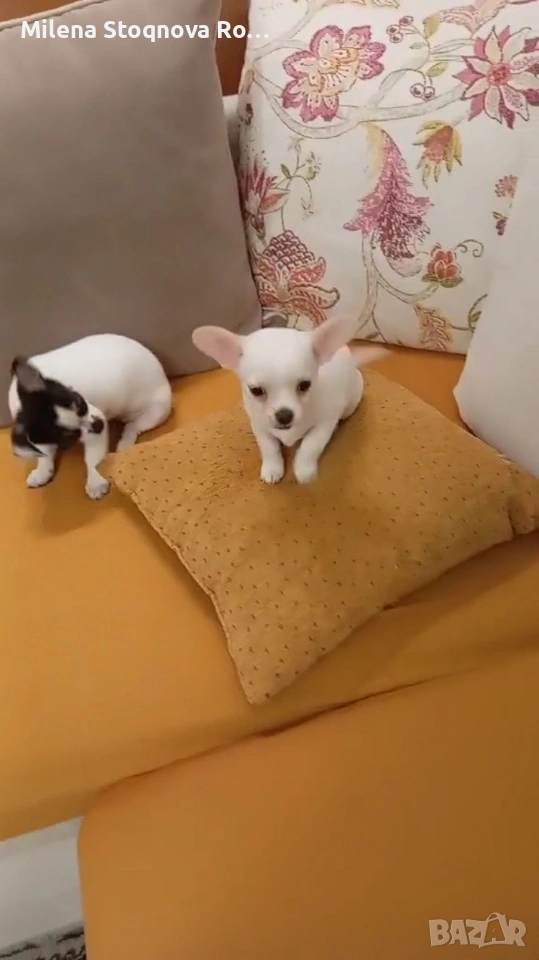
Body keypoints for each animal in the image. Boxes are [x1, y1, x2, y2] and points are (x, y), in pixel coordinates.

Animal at [9, 334, 172, 499]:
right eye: (70, 436)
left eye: (80, 402)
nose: (98, 424)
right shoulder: (40, 438)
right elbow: (44, 452)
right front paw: (42, 470)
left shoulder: (96, 427)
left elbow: (93, 459)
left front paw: (96, 482)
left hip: (157, 411)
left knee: (133, 426)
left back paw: (125, 442)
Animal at [192, 315, 386, 484]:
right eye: (256, 391)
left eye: (305, 385)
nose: (284, 415)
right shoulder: (259, 425)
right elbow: (268, 447)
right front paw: (272, 468)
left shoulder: (325, 422)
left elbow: (311, 445)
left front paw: (303, 470)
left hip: (350, 403)